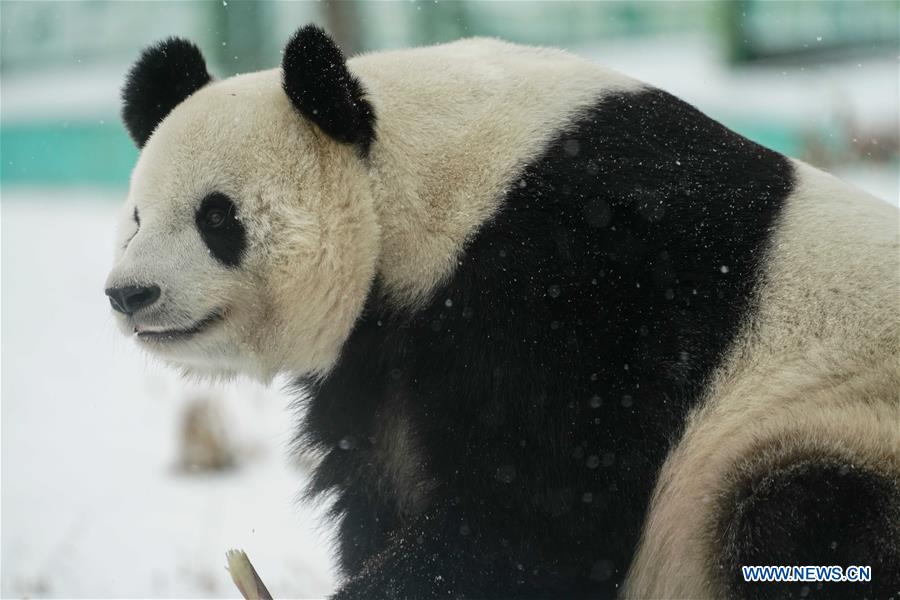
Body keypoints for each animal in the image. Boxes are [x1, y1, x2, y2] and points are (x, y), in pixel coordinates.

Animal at [105, 25, 900, 596]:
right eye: (138, 216)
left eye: (218, 217)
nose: (129, 293)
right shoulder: (383, 360)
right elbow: (388, 492)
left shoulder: (584, 281)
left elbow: (533, 518)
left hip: (828, 423)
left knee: (802, 519)